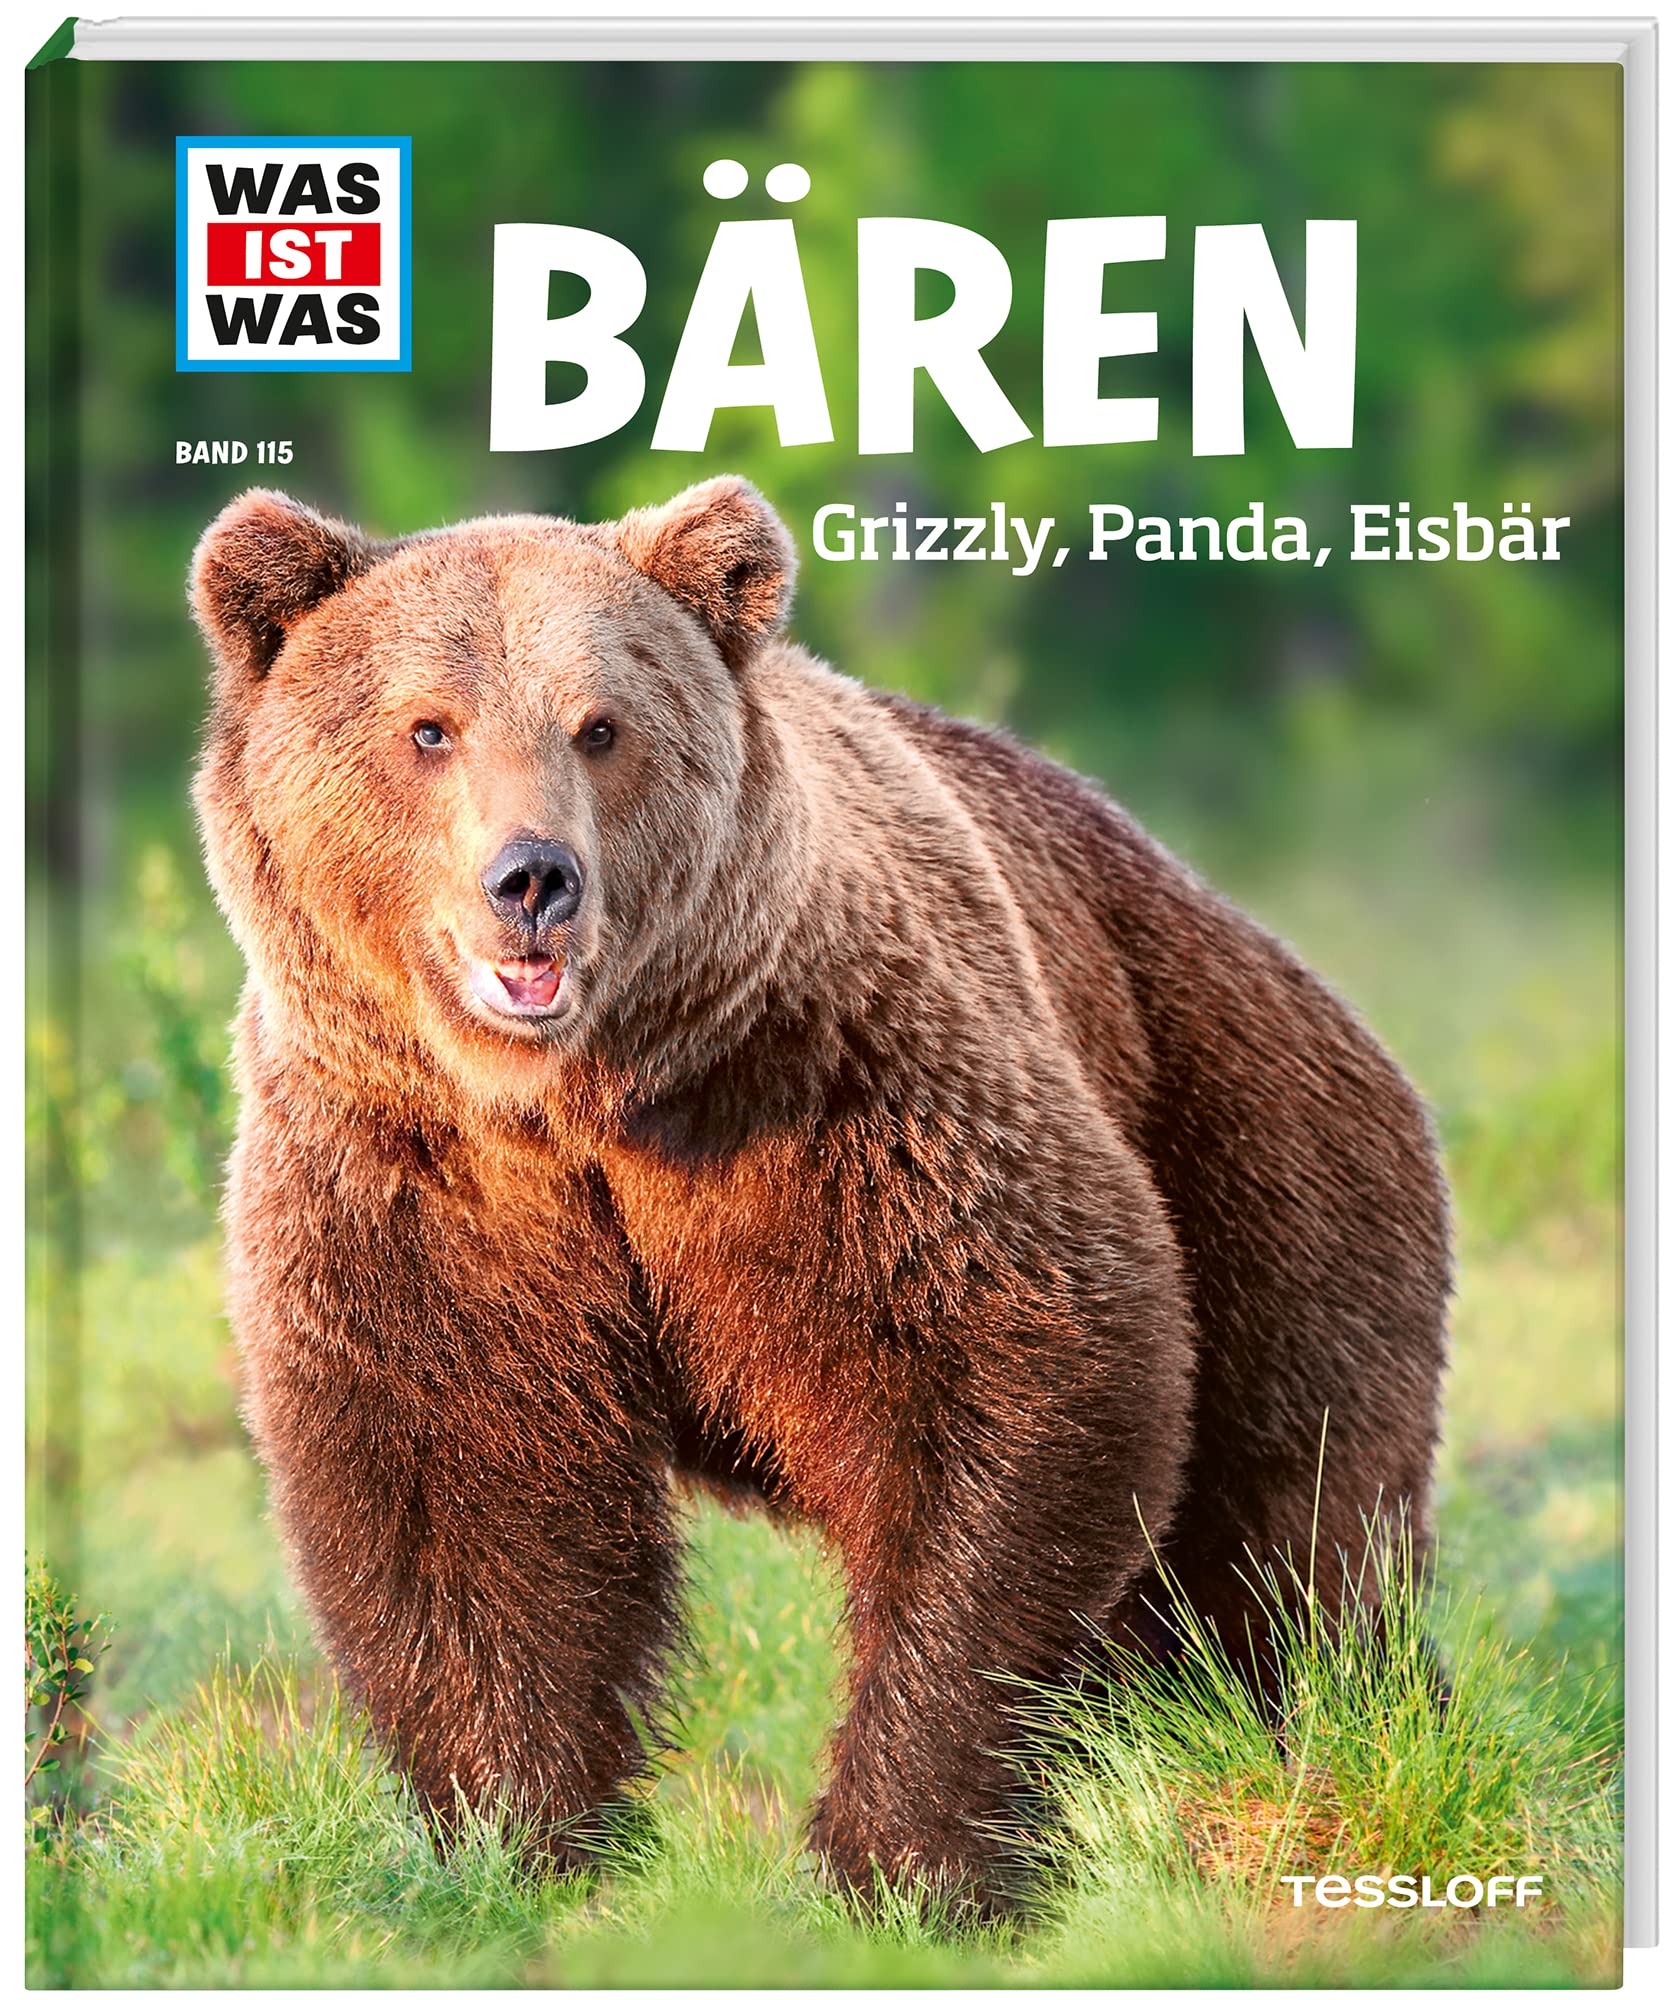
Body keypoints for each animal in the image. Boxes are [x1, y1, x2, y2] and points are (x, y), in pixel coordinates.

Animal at [190, 476, 1451, 1911]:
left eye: (600, 726)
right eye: (427, 728)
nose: (532, 879)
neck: (578, 1098)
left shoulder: (831, 1087)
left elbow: (1007, 1366)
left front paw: (900, 1853)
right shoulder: (416, 1171)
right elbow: (462, 1480)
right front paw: (527, 1840)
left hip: (1248, 1136)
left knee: (1293, 1520)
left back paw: (1332, 1723)